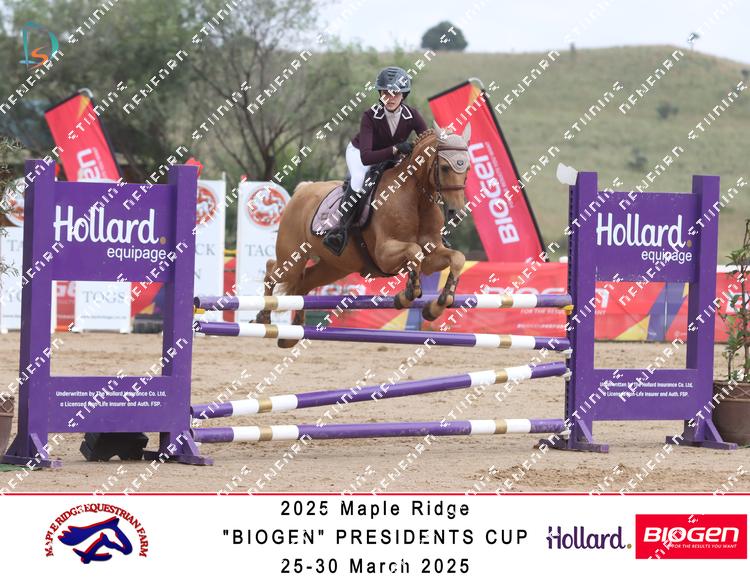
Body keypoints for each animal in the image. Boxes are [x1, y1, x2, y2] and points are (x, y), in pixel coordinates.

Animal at [257, 122, 471, 347]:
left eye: (466, 169)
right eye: (445, 167)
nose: (456, 213)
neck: (416, 200)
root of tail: (302, 190)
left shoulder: (432, 255)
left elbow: (457, 258)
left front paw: (436, 307)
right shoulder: (384, 255)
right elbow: (415, 252)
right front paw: (405, 296)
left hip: (334, 267)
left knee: (304, 283)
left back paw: (292, 334)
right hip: (292, 257)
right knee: (271, 270)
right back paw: (263, 318)